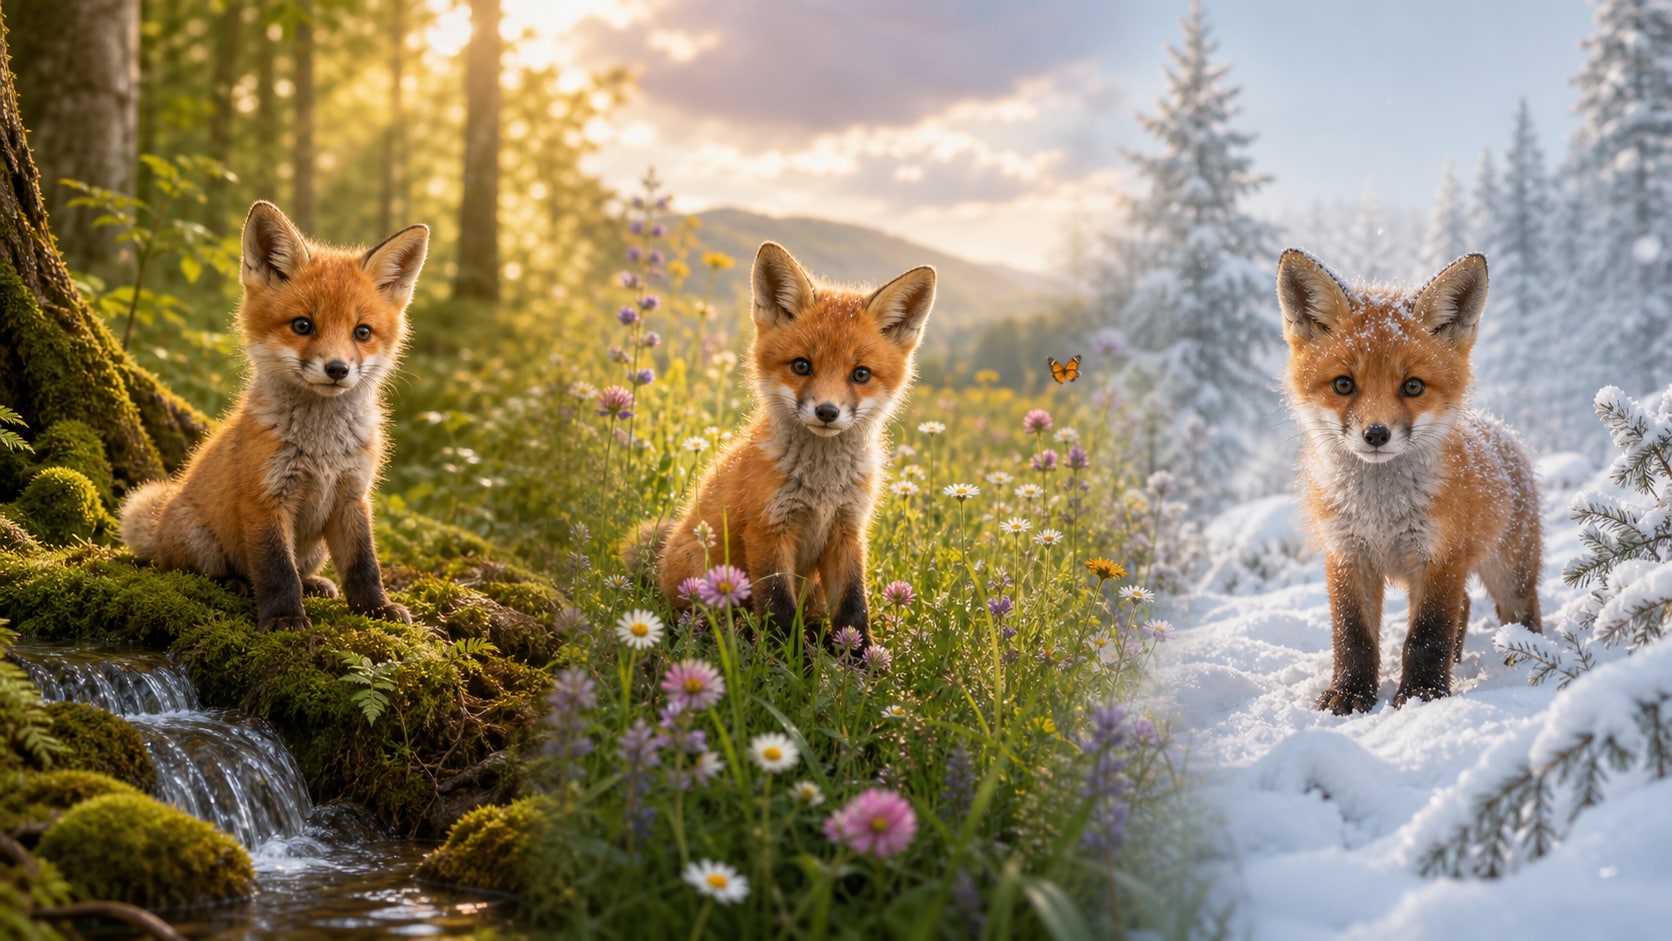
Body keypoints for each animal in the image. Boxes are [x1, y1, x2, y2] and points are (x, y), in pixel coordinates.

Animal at [120, 200, 428, 632]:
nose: (337, 369)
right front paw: (284, 618)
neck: (322, 448)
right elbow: (276, 569)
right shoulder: (266, 498)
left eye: (362, 332)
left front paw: (376, 609)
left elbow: (363, 564)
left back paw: (315, 584)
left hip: (316, 549)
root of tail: (161, 522)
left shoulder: (353, 497)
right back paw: (232, 584)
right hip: (199, 542)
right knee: (187, 569)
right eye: (302, 325)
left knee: (305, 568)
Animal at [635, 241, 935, 650]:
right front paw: (789, 659)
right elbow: (778, 609)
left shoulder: (848, 531)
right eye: (801, 366)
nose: (827, 411)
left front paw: (861, 660)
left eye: (861, 374)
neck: (823, 488)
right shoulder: (768, 530)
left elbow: (854, 608)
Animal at [1276, 249, 1542, 714]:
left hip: (1510, 574)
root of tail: (1502, 431)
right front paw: (1351, 694)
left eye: (1413, 386)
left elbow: (1427, 636)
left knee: (1521, 614)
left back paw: (1528, 657)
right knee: (1466, 605)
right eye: (1343, 384)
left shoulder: (1440, 556)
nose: (1376, 434)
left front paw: (1423, 694)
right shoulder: (1347, 555)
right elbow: (1353, 637)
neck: (1380, 513)